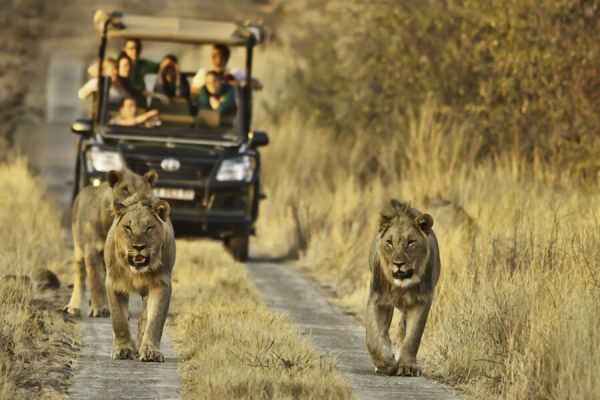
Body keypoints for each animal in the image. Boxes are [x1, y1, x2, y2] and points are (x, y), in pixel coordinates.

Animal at [103, 195, 176, 364]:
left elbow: (155, 320)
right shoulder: (113, 283)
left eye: (149, 228)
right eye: (128, 228)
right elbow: (119, 320)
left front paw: (151, 352)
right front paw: (123, 349)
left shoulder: (161, 285)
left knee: (144, 319)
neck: (137, 272)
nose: (138, 247)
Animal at [364, 198, 442, 376]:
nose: (398, 264)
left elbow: (413, 337)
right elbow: (373, 337)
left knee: (402, 329)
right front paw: (385, 363)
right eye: (389, 243)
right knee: (384, 331)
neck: (401, 286)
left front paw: (407, 366)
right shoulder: (377, 299)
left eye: (411, 243)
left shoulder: (421, 302)